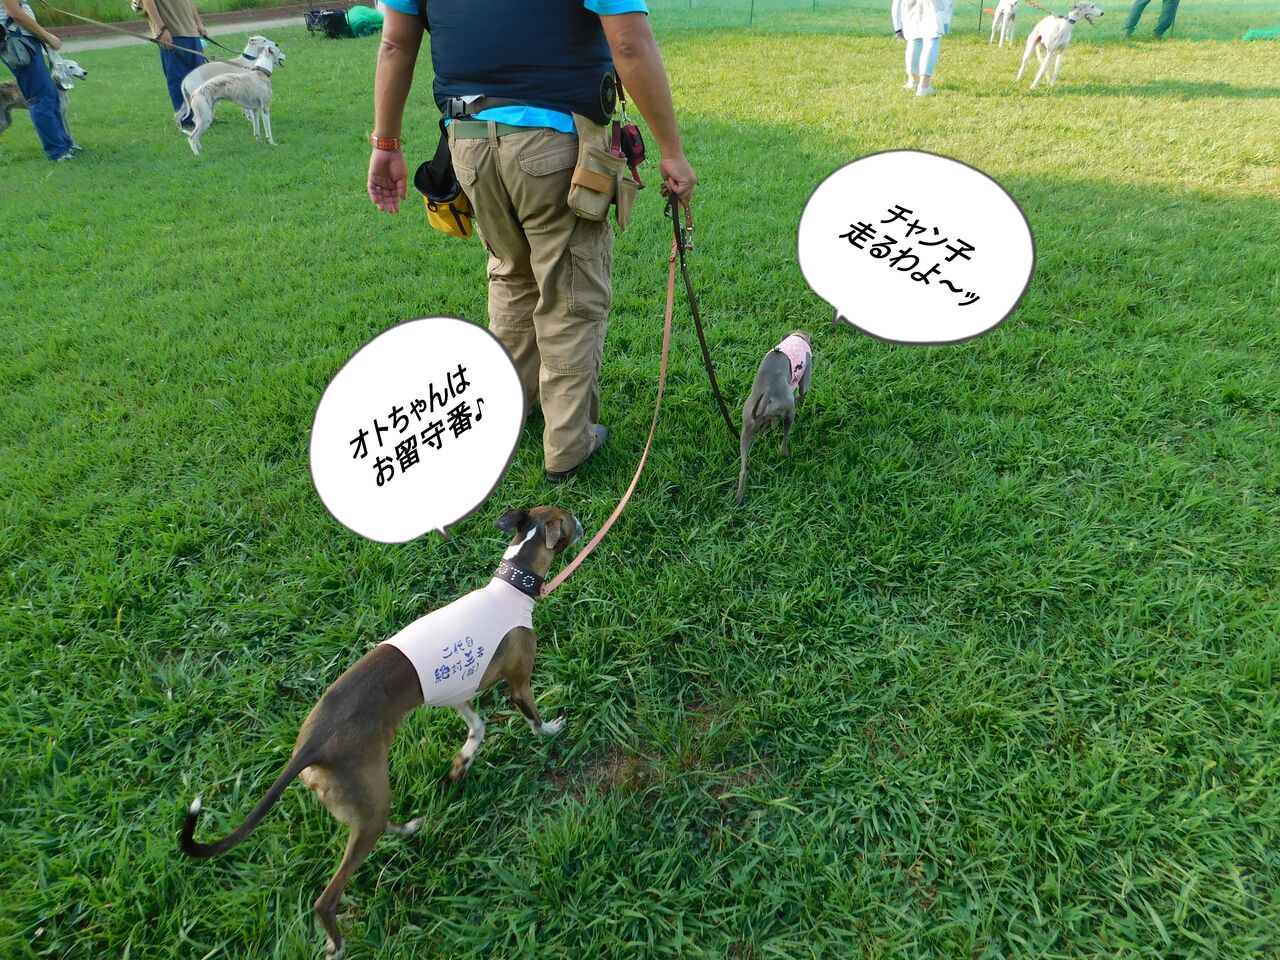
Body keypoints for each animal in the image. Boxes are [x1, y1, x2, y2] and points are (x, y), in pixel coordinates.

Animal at [181, 506, 580, 959]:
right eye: (568, 520)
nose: (583, 521)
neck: (510, 589)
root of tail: (311, 746)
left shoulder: (456, 690)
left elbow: (476, 729)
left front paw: (460, 765)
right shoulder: (518, 684)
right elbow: (532, 717)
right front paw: (552, 730)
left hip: (366, 804)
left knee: (377, 824)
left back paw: (408, 828)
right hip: (367, 799)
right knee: (327, 897)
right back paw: (336, 943)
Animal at [736, 331, 812, 504]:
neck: (797, 336)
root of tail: (768, 388)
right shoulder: (805, 378)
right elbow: (802, 394)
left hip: (748, 425)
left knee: (743, 470)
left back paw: (738, 498)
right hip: (789, 413)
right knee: (783, 443)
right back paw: (786, 455)